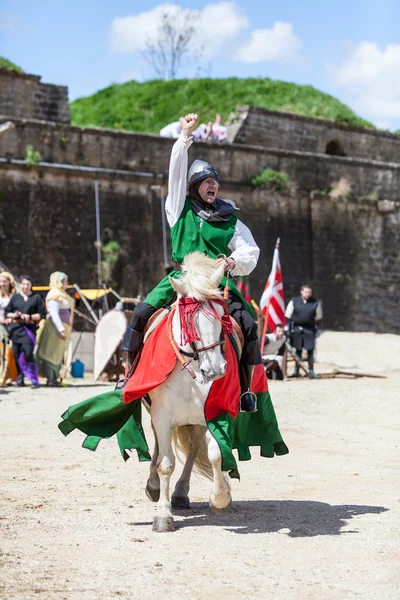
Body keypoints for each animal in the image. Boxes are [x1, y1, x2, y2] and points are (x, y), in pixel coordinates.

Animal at [145, 251, 236, 532]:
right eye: (189, 320)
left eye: (223, 315)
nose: (216, 369)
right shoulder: (161, 414)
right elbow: (165, 463)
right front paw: (163, 515)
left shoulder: (215, 411)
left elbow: (216, 454)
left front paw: (220, 498)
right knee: (159, 448)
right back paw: (154, 487)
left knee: (195, 448)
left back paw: (181, 493)